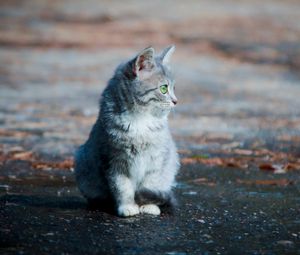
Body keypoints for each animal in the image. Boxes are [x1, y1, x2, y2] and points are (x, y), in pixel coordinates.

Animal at [75, 45, 179, 217]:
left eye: (173, 88)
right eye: (164, 88)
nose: (176, 101)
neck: (141, 121)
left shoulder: (157, 159)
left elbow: (150, 184)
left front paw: (148, 205)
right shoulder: (114, 161)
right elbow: (122, 187)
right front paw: (128, 206)